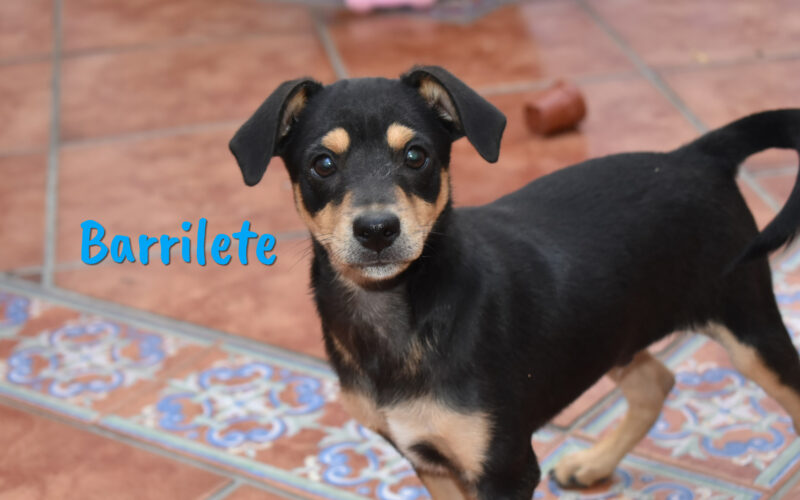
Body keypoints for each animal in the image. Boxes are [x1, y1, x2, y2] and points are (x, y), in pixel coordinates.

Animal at [229, 65, 800, 499]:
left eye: (416, 155)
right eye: (322, 164)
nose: (376, 230)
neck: (398, 312)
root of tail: (696, 155)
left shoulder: (505, 467)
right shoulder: (431, 462)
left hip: (750, 326)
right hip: (614, 331)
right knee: (655, 382)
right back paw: (593, 464)